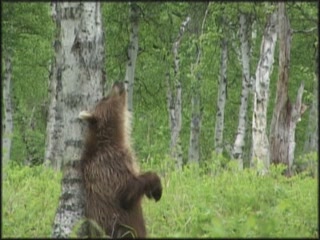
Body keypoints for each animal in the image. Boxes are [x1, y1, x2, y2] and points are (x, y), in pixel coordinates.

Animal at [78, 81, 162, 238]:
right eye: (104, 97)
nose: (117, 82)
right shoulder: (108, 167)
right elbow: (126, 190)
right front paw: (157, 189)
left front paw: (152, 192)